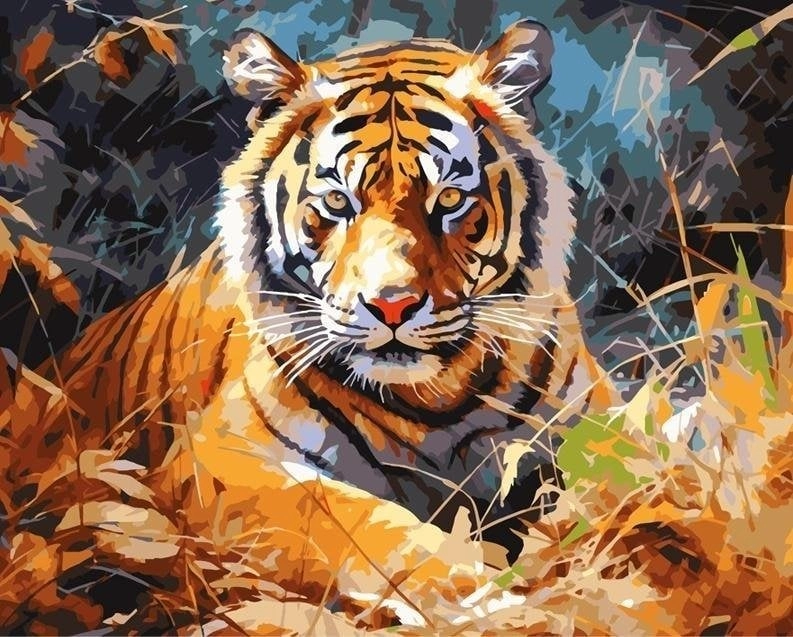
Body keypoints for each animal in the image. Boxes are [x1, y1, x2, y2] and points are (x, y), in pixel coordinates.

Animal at [0, 19, 612, 632]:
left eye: (450, 199)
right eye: (338, 202)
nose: (392, 306)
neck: (433, 400)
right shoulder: (222, 456)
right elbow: (354, 520)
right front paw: (477, 593)